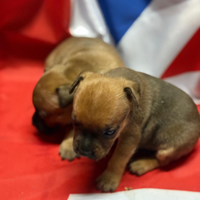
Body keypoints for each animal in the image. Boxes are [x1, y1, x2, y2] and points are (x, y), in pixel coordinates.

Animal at [66, 67, 200, 192]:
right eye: (74, 122)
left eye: (110, 132)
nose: (84, 151)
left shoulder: (130, 137)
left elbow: (118, 158)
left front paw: (109, 178)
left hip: (169, 150)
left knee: (163, 161)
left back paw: (141, 164)